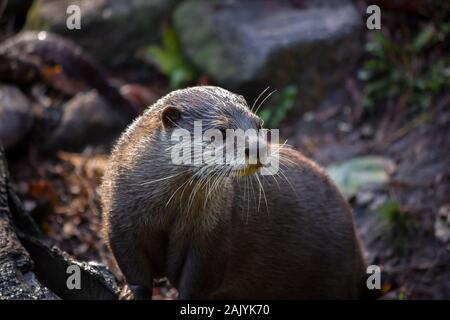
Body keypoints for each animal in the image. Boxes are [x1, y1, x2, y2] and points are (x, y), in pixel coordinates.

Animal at [101, 85, 370, 300]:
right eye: (220, 131)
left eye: (259, 124)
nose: (258, 148)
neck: (163, 212)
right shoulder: (120, 222)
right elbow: (136, 274)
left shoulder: (213, 238)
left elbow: (196, 282)